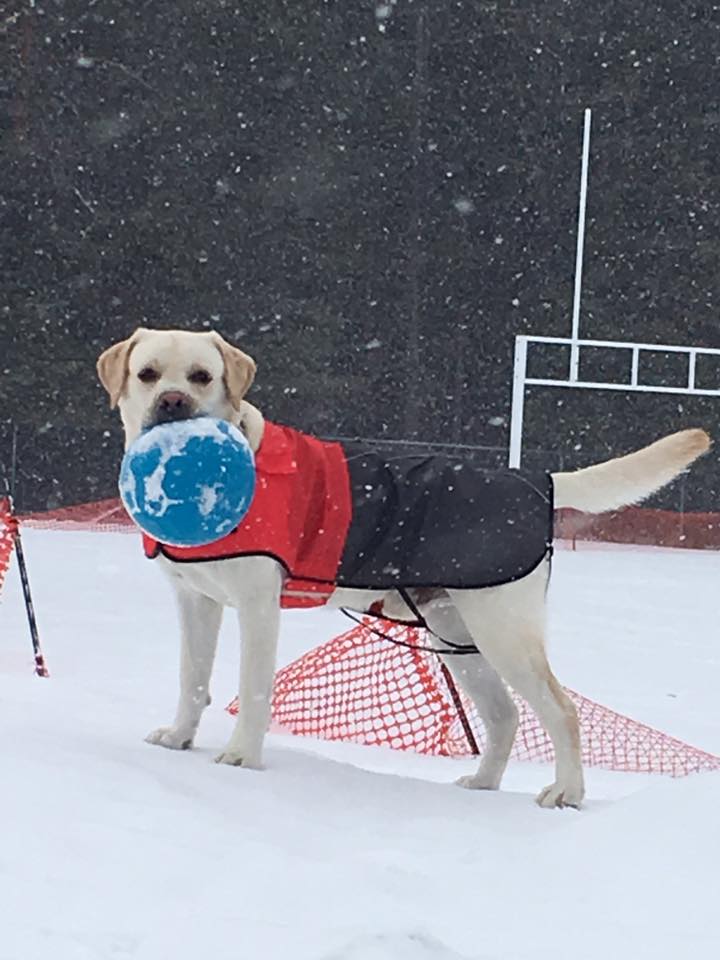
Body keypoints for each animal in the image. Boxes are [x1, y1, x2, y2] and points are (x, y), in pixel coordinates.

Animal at [97, 326, 708, 808]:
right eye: (148, 374)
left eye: (202, 376)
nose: (173, 402)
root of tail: (538, 480)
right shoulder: (195, 601)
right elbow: (192, 678)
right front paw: (179, 738)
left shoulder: (257, 605)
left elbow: (252, 689)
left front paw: (241, 759)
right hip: (457, 636)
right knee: (505, 716)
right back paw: (482, 786)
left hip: (503, 631)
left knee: (561, 711)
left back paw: (566, 793)